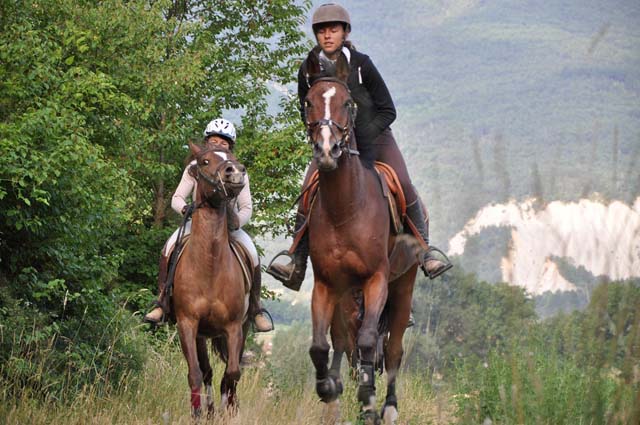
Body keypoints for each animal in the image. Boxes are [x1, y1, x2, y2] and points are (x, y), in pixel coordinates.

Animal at [172, 142, 251, 417]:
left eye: (233, 157)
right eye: (204, 161)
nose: (235, 172)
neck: (209, 266)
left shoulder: (234, 327)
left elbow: (232, 374)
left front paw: (229, 409)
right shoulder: (188, 324)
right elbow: (196, 374)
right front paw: (198, 413)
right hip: (201, 335)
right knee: (205, 371)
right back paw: (208, 409)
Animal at [303, 77, 419, 425]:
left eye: (347, 103)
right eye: (308, 102)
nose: (327, 150)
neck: (345, 208)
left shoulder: (376, 279)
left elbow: (368, 342)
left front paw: (368, 400)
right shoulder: (327, 285)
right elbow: (322, 346)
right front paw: (329, 388)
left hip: (403, 286)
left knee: (393, 350)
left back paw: (389, 408)